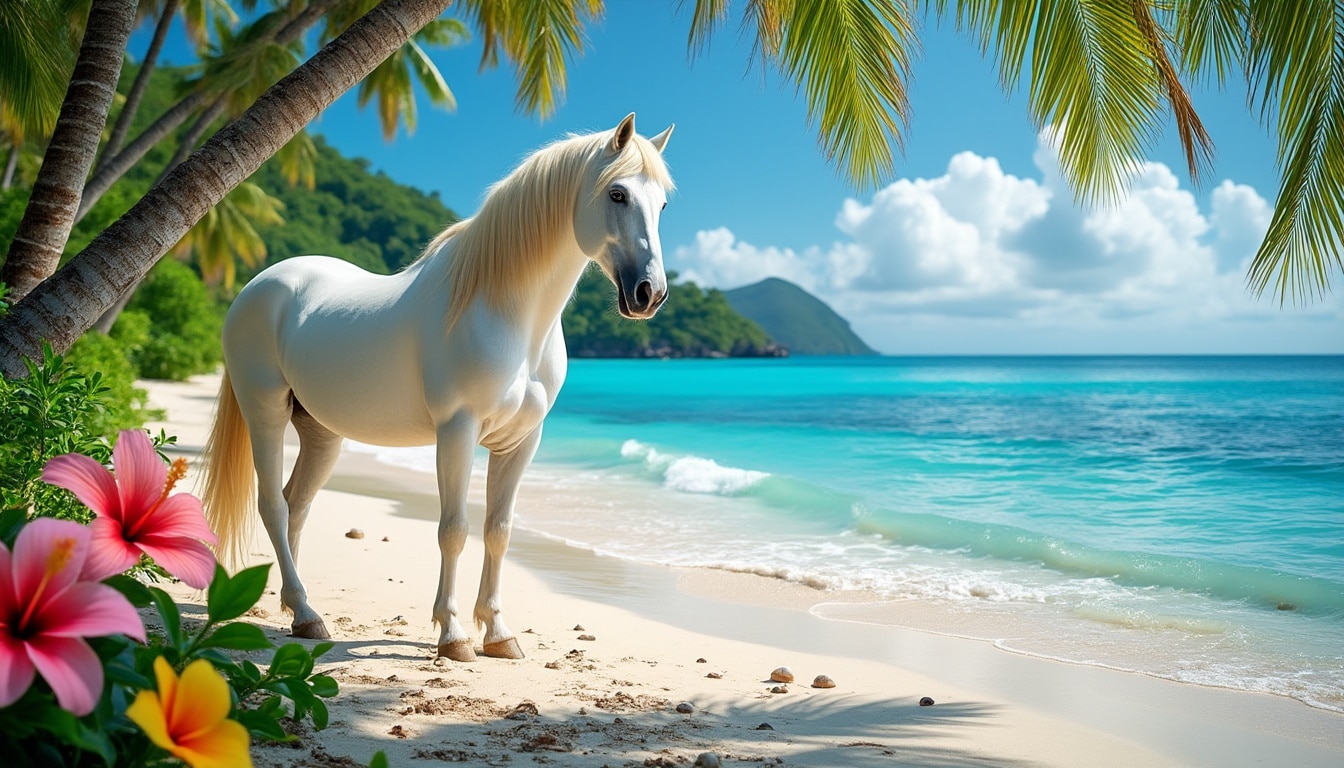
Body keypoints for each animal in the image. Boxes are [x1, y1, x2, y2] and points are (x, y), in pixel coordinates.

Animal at [201, 114, 674, 661]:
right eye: (617, 194)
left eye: (663, 204)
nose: (649, 294)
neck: (506, 315)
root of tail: (256, 287)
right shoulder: (457, 431)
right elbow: (454, 530)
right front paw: (453, 634)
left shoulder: (521, 441)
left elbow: (498, 531)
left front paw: (499, 633)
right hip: (266, 412)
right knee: (273, 507)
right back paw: (307, 613)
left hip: (321, 431)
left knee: (296, 505)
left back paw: (300, 613)